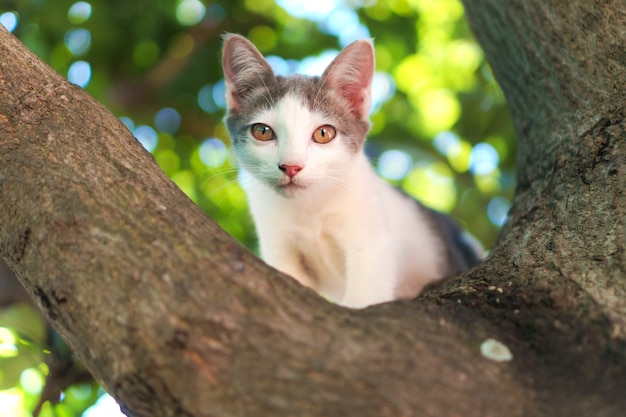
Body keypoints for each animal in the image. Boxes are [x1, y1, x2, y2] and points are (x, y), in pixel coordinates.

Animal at [221, 34, 482, 308]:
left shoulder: (374, 246)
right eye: (262, 131)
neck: (309, 208)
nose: (291, 166)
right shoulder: (278, 248)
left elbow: (364, 297)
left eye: (323, 133)